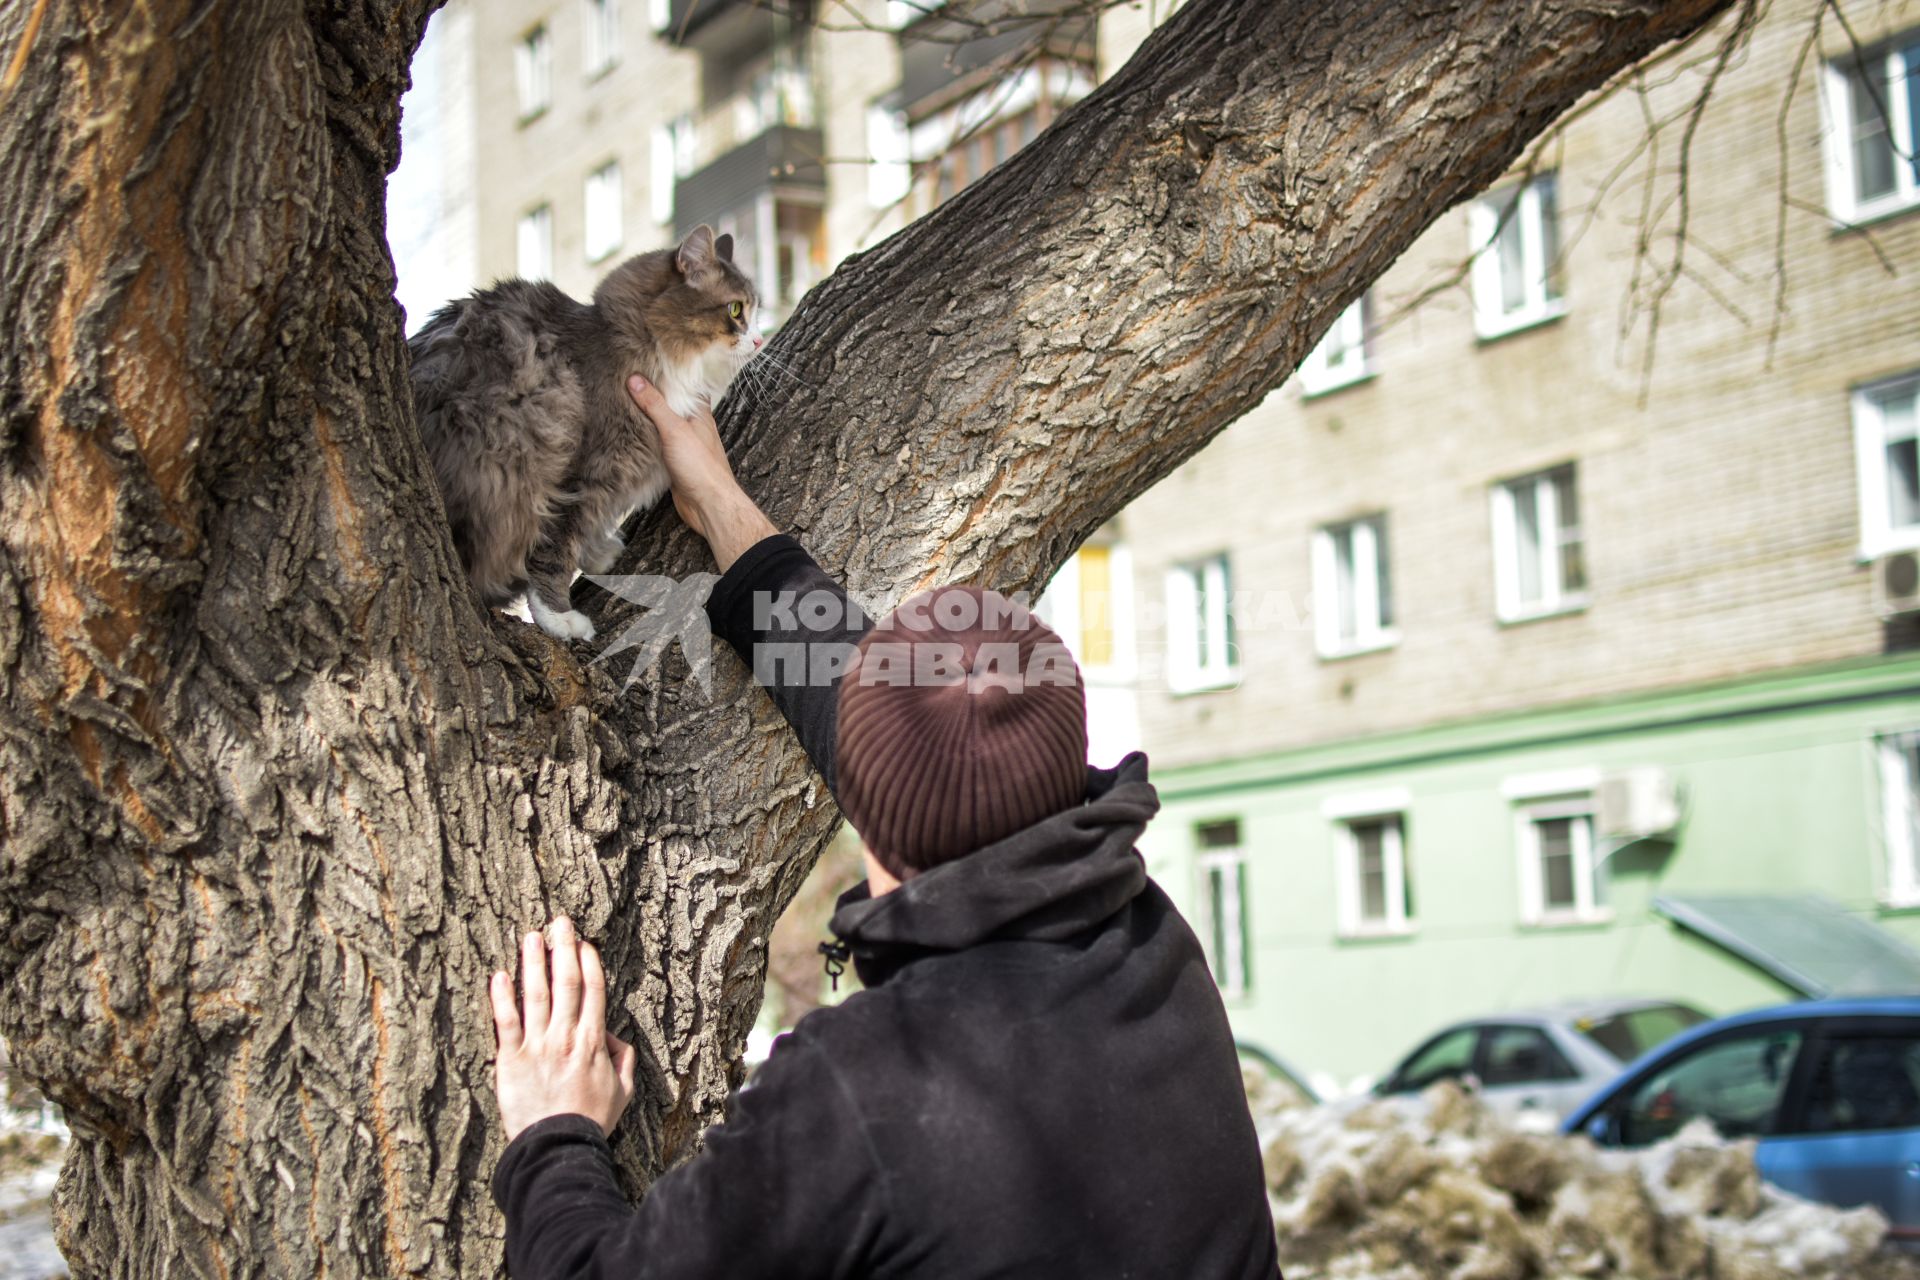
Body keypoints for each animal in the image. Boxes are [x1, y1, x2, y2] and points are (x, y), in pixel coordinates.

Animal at [408, 227, 760, 640]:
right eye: (735, 310)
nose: (759, 340)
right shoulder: (575, 472)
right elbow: (554, 551)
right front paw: (558, 617)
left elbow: (590, 524)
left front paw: (599, 552)